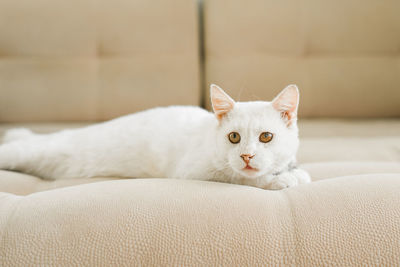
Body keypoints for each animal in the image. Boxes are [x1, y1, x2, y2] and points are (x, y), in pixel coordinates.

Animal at [0, 85, 310, 189]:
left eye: (266, 137)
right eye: (234, 137)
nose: (247, 155)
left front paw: (294, 172)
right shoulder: (193, 171)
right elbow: (240, 177)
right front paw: (279, 179)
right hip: (32, 151)